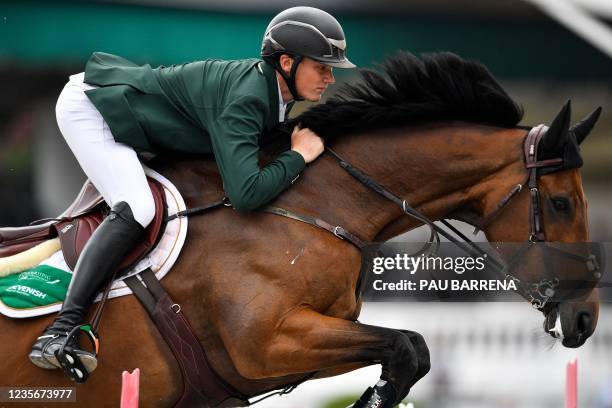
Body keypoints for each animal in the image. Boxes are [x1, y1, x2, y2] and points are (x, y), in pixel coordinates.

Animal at [0, 52, 604, 406]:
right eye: (560, 203)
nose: (585, 319)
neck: (314, 205)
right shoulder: (268, 344)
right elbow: (408, 345)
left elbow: (409, 351)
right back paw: (59, 345)